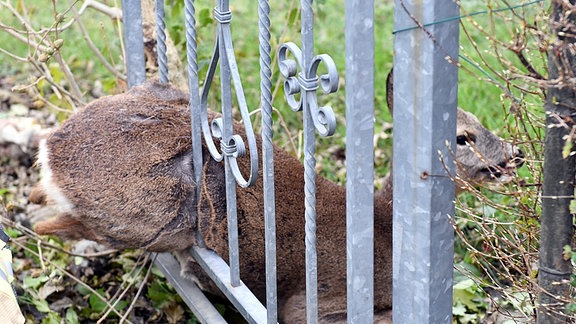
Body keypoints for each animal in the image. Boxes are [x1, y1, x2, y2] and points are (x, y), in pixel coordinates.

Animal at [30, 72, 520, 322]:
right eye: (463, 137)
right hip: (161, 214)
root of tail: (52, 151)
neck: (384, 231)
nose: (513, 154)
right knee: (55, 224)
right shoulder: (315, 304)